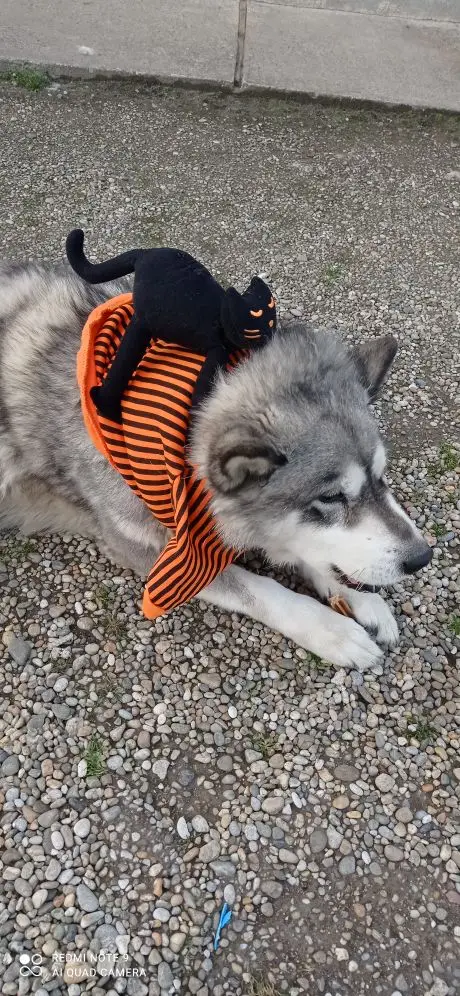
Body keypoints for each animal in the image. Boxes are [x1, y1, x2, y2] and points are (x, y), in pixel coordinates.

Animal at [0, 261, 432, 671]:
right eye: (331, 497)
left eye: (381, 477)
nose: (422, 558)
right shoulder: (155, 555)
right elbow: (260, 588)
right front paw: (331, 629)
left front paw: (359, 597)